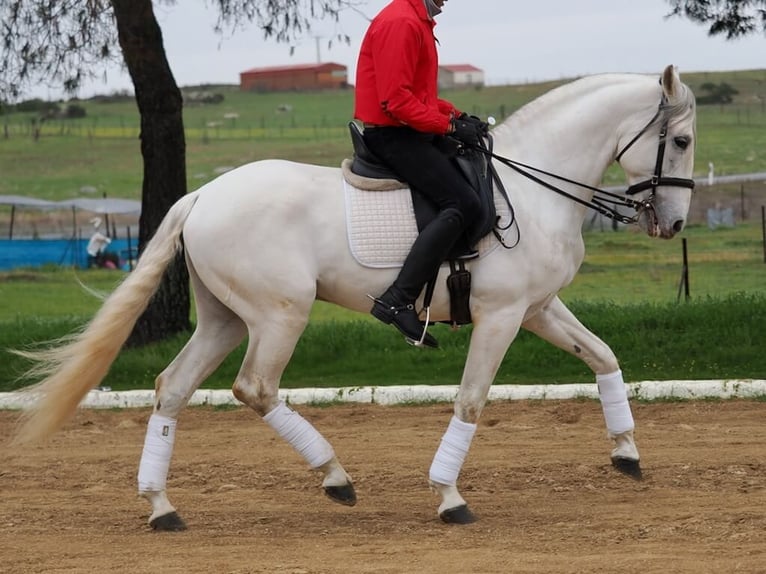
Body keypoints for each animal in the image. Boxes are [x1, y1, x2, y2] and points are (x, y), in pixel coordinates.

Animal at [12, 65, 700, 528]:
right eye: (684, 141)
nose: (673, 224)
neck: (532, 190)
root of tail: (204, 194)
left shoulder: (537, 308)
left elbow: (603, 356)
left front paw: (627, 453)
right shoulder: (501, 316)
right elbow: (472, 401)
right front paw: (449, 496)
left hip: (225, 319)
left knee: (172, 388)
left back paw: (162, 506)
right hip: (279, 315)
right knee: (254, 388)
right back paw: (334, 477)